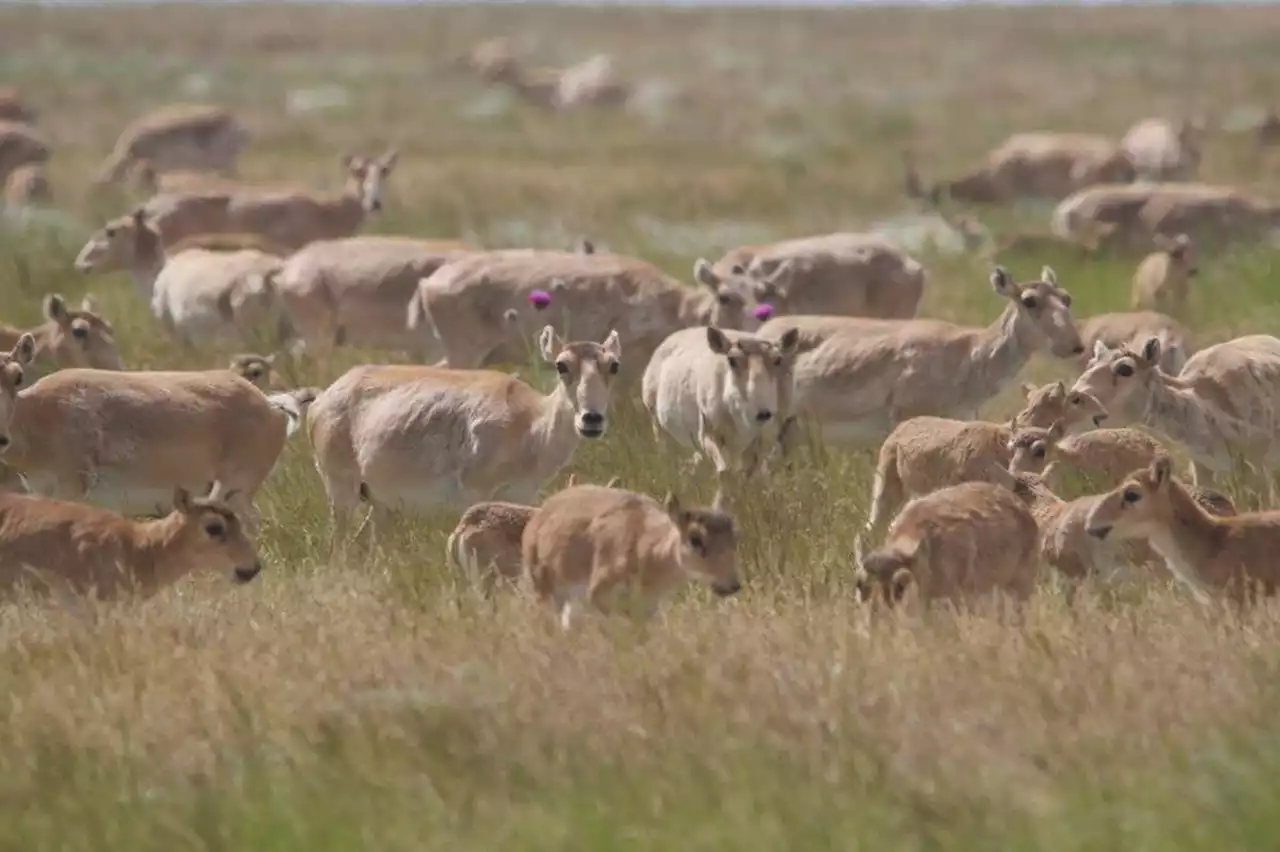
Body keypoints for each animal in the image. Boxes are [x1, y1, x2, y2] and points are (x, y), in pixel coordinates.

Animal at [312, 322, 627, 539]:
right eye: (561, 365)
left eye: (614, 365)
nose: (591, 419)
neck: (530, 426)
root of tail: (323, 397)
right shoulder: (477, 493)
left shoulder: (522, 496)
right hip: (340, 488)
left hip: (380, 504)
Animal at [522, 481, 742, 626]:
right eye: (695, 539)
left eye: (735, 536)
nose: (732, 585)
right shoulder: (600, 595)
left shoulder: (647, 609)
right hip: (545, 591)